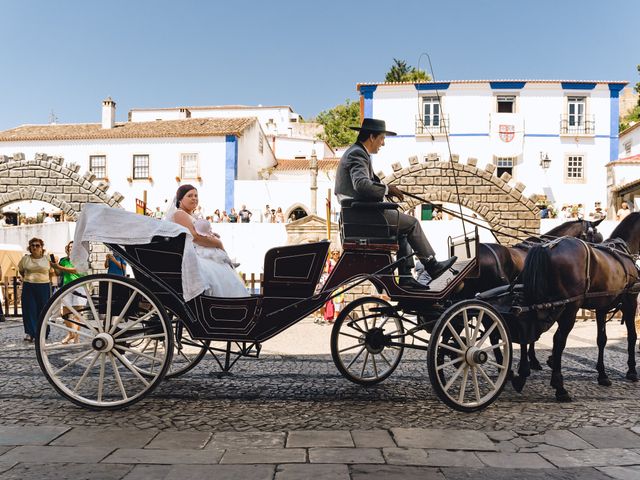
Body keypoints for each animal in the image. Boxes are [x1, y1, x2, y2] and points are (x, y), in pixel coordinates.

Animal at [520, 214, 640, 402]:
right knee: (558, 339)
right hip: (569, 307)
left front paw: (602, 374)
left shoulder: (602, 307)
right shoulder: (630, 302)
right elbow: (632, 336)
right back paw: (559, 387)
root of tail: (546, 248)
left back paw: (523, 371)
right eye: (596, 237)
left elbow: (601, 339)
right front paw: (632, 371)